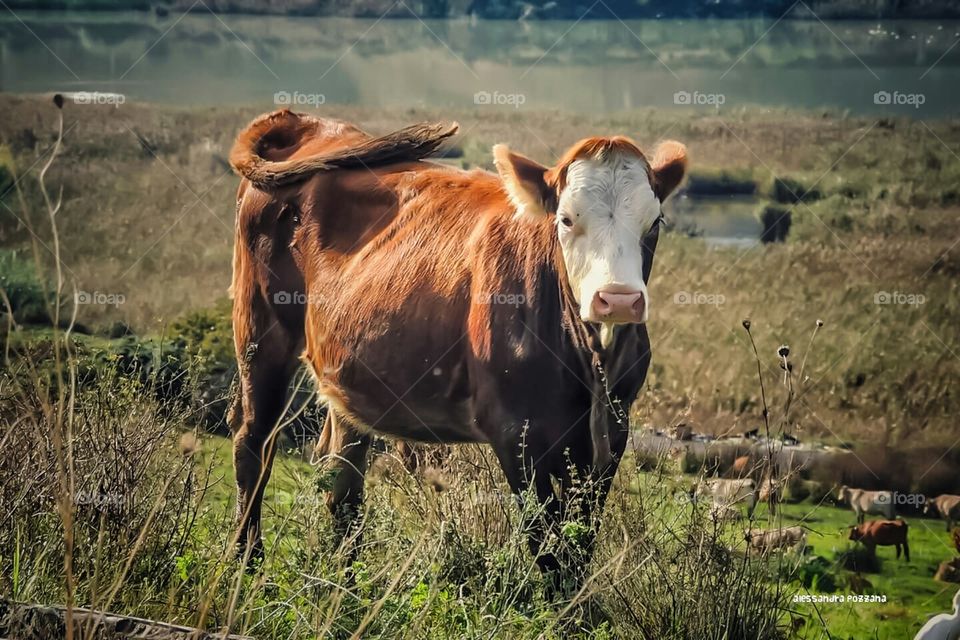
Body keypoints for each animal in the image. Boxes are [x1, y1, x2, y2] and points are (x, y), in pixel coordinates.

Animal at [226, 109, 687, 586]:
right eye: (566, 219)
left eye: (655, 222)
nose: (618, 299)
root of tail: (311, 124)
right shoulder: (515, 431)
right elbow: (546, 543)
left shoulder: (613, 428)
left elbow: (580, 542)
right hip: (260, 330)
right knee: (253, 442)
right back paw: (245, 563)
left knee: (342, 478)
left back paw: (345, 582)